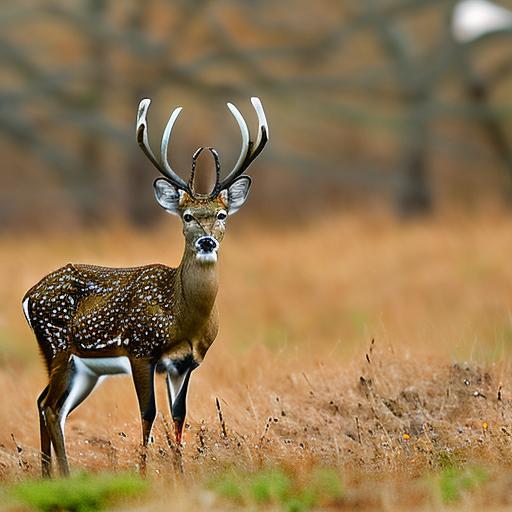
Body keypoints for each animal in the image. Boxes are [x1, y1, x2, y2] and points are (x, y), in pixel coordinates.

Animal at [21, 95, 268, 476]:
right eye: (187, 216)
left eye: (222, 214)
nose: (207, 241)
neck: (182, 317)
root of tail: (28, 296)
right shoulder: (140, 349)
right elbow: (148, 413)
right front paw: (143, 473)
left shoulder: (186, 363)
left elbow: (179, 415)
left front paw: (180, 474)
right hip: (57, 342)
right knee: (49, 405)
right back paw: (64, 475)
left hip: (82, 367)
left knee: (46, 403)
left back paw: (49, 476)